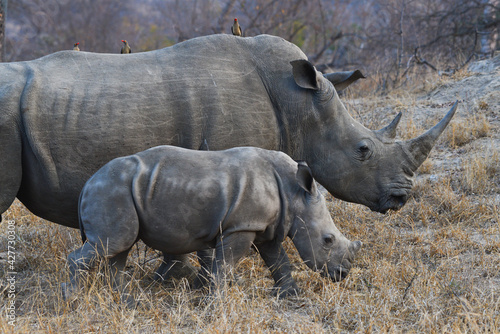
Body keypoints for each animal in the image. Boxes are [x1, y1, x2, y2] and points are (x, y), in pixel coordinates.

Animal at [62, 146, 362, 300]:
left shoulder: (262, 226)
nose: (342, 274)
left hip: (117, 190)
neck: (295, 193)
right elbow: (225, 265)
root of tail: (87, 183)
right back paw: (72, 299)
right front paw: (215, 302)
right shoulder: (241, 226)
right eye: (327, 240)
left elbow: (279, 261)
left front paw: (291, 295)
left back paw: (125, 300)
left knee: (118, 247)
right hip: (110, 191)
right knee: (112, 244)